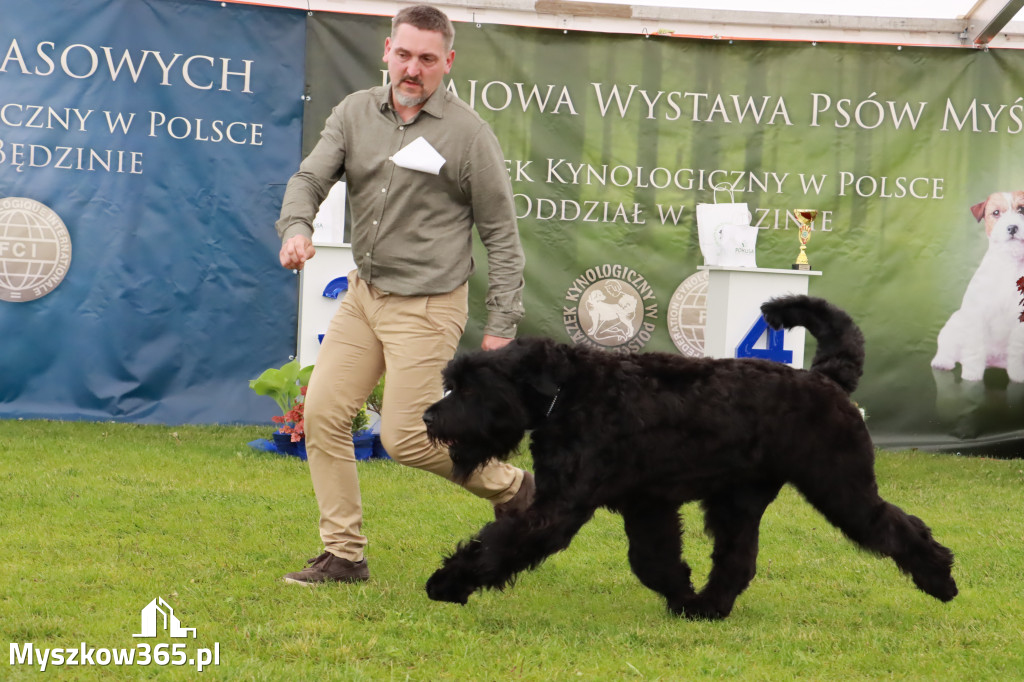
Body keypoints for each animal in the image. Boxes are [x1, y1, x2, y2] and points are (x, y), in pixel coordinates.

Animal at [421, 294, 950, 618]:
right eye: (453, 381)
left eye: (471, 387)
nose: (429, 417)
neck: (569, 394)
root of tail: (828, 377)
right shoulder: (646, 503)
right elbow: (652, 560)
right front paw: (680, 593)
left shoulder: (560, 509)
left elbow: (500, 543)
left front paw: (448, 582)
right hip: (739, 501)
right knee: (738, 559)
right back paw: (708, 607)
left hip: (841, 487)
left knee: (897, 526)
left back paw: (941, 578)